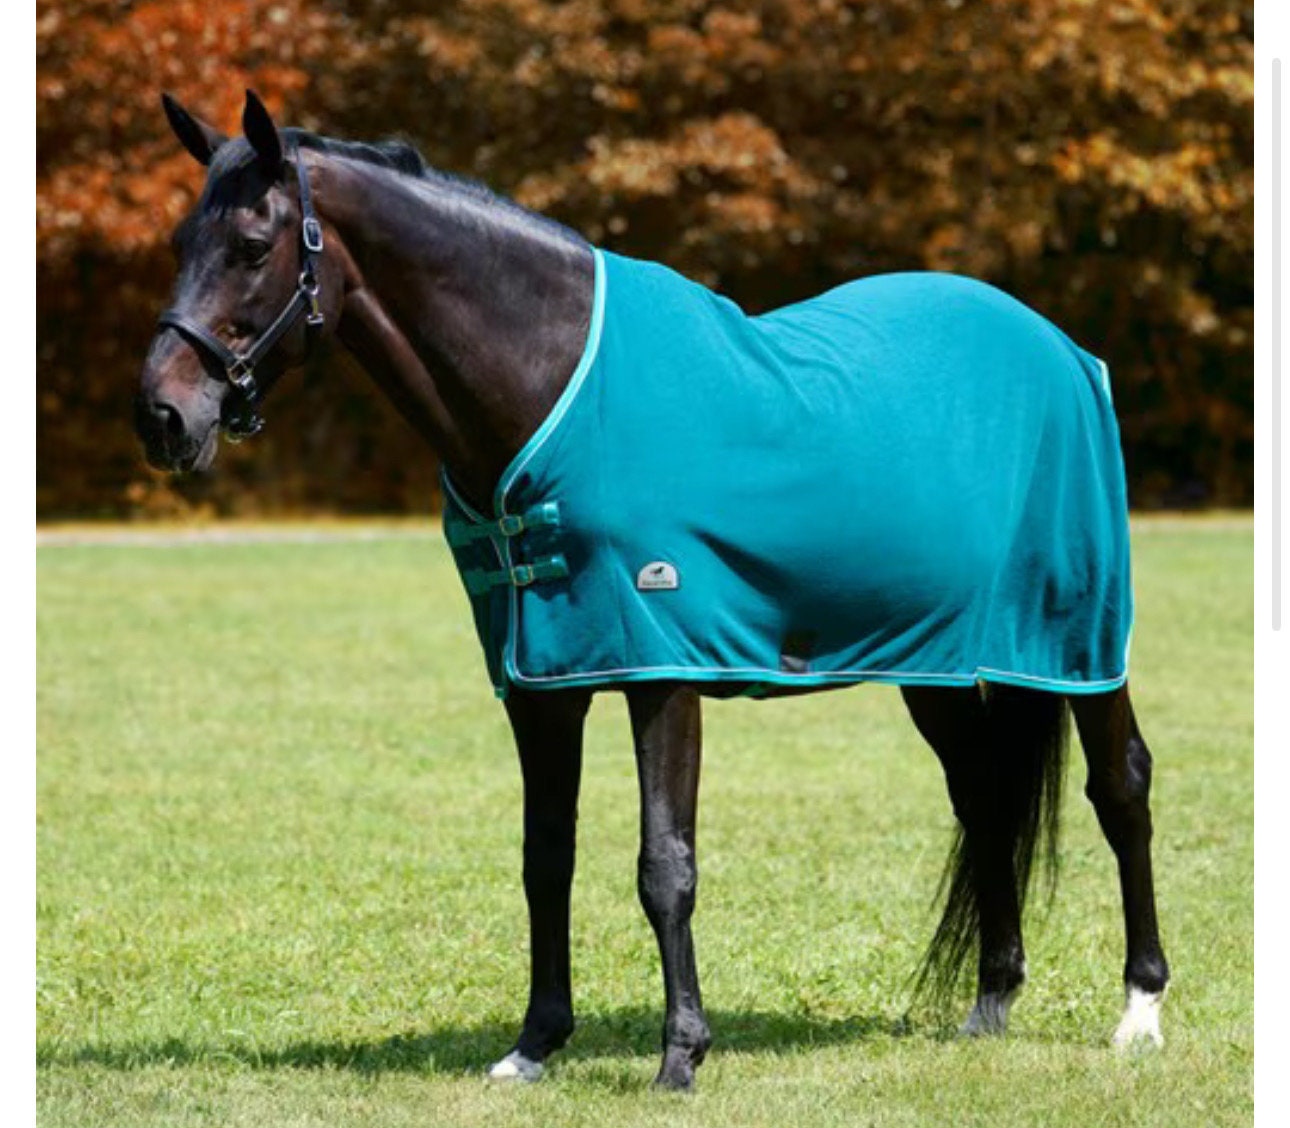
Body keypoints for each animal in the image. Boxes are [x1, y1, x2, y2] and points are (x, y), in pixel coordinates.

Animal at [135, 91, 1169, 1091]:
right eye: (181, 243)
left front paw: (681, 1056)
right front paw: (534, 1046)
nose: (162, 417)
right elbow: (544, 858)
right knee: (984, 796)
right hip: (939, 661)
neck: (546, 385)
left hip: (1079, 644)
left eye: (254, 247)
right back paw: (991, 1003)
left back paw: (1141, 1011)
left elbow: (664, 866)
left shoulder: (662, 669)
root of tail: (1059, 348)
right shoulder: (539, 684)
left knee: (1119, 786)